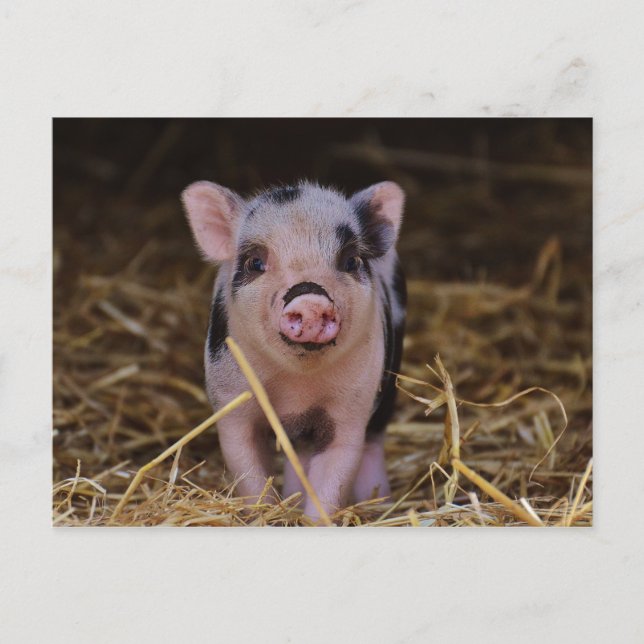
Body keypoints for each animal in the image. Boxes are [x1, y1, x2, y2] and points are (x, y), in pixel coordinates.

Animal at [182, 180, 406, 520]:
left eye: (351, 261)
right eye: (255, 262)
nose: (310, 299)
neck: (297, 389)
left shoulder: (350, 409)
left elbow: (334, 476)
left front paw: (311, 521)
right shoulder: (232, 402)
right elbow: (248, 471)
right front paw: (267, 515)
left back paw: (379, 503)